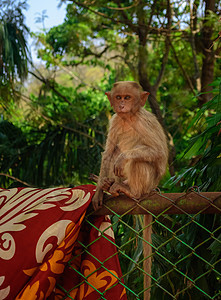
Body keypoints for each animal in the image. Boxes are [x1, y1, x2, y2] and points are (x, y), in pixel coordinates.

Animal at [92, 81, 168, 210]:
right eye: (118, 97)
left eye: (127, 97)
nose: (121, 105)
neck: (128, 118)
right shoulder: (115, 120)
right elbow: (108, 154)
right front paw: (98, 194)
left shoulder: (142, 122)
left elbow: (159, 151)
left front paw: (122, 158)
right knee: (115, 152)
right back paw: (108, 185)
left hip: (149, 186)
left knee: (137, 161)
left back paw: (133, 192)